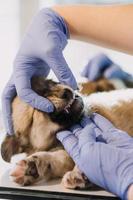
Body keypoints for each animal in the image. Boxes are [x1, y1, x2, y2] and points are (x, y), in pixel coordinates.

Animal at [1, 76, 133, 188]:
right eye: (37, 107)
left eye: (52, 83)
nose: (66, 91)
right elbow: (63, 156)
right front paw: (33, 166)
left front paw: (80, 171)